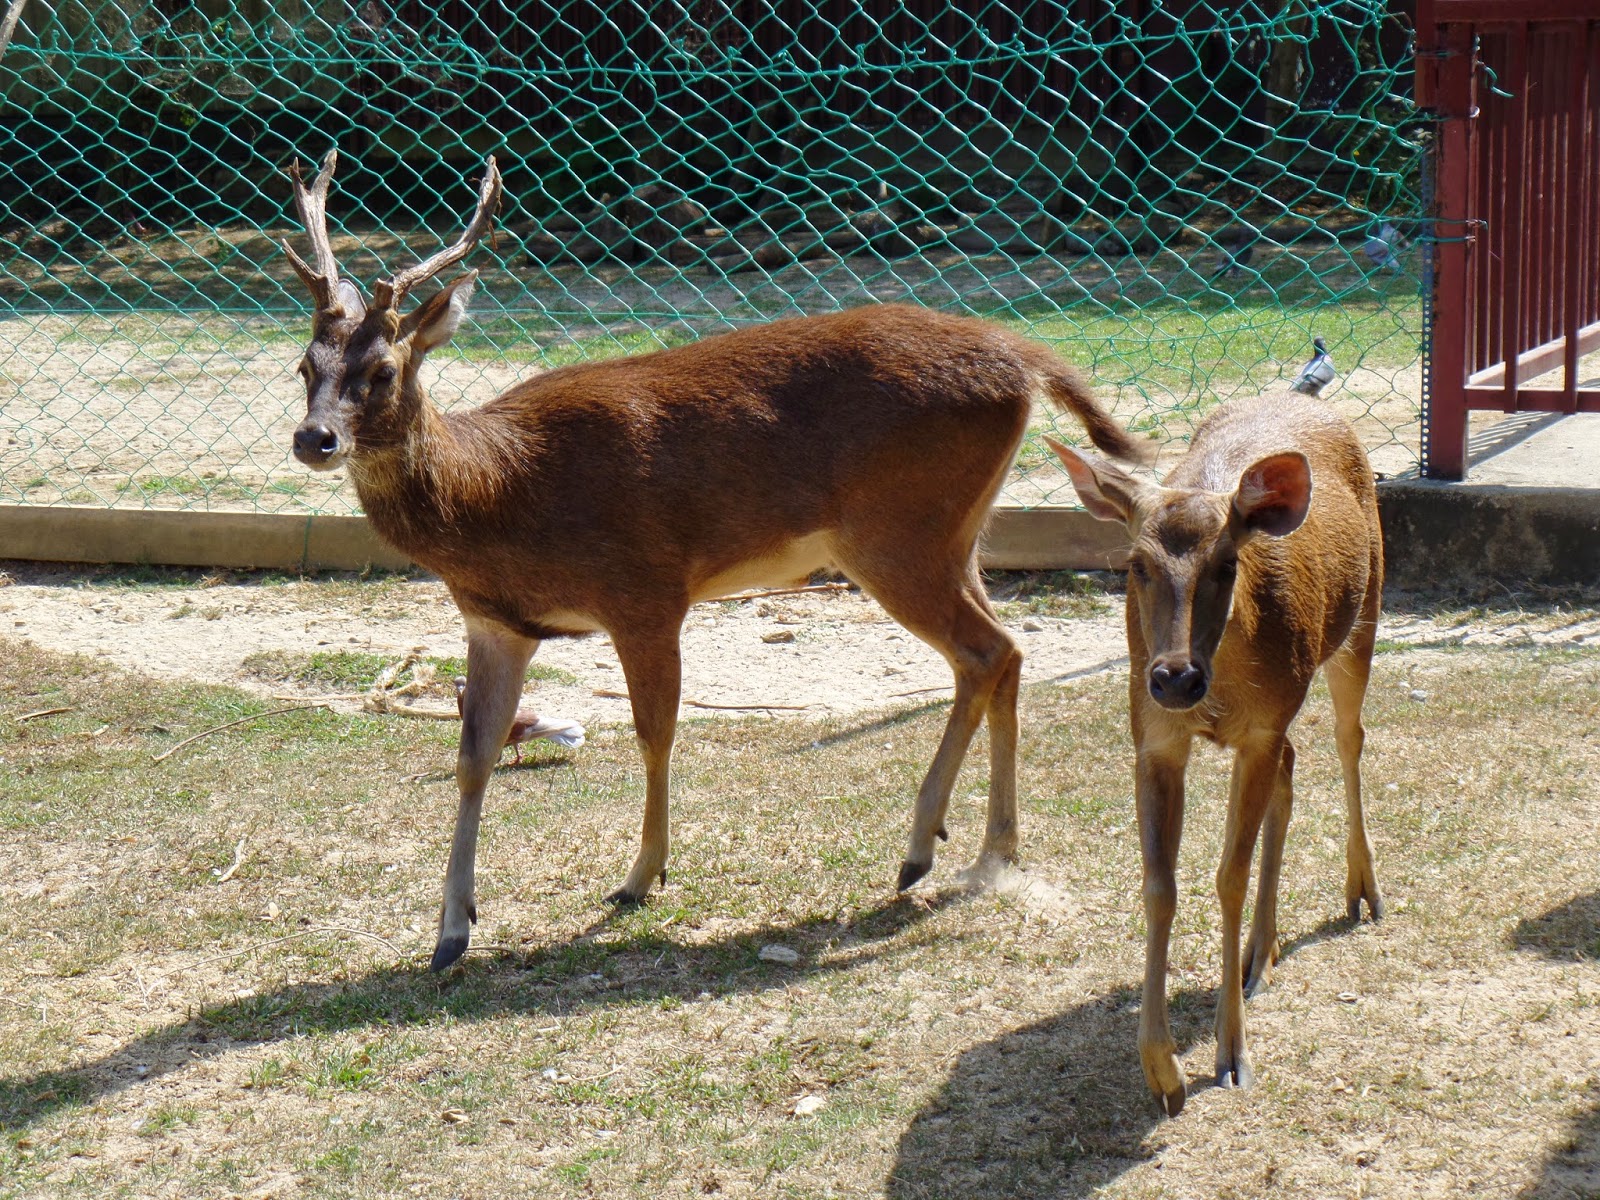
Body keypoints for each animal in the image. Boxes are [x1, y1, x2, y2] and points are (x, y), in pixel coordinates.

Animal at [278, 152, 1152, 979]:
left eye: (384, 370)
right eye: (305, 365)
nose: (314, 438)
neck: (497, 490)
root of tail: (1027, 358)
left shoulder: (644, 589)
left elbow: (654, 731)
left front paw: (639, 878)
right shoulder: (497, 622)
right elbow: (472, 758)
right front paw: (451, 934)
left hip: (896, 534)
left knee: (986, 650)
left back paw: (926, 851)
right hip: (957, 534)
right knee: (1007, 651)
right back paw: (988, 849)